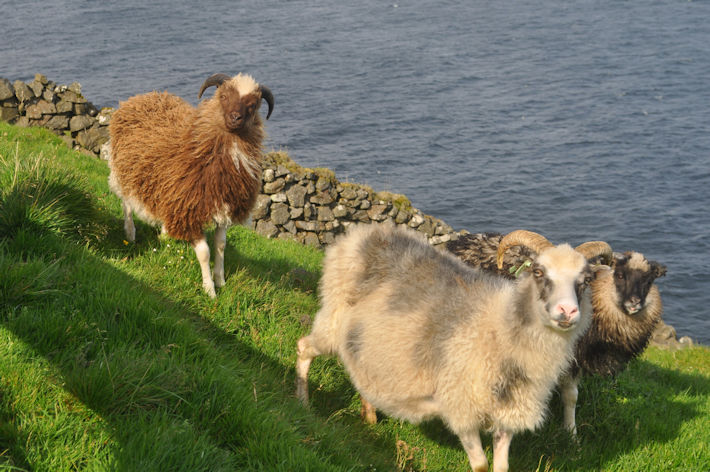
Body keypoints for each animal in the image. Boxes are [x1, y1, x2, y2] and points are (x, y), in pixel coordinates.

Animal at [108, 72, 276, 296]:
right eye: (223, 96)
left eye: (253, 105)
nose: (235, 118)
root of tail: (144, 96)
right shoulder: (190, 212)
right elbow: (204, 252)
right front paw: (210, 290)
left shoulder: (221, 210)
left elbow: (220, 245)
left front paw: (220, 280)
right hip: (124, 170)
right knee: (126, 202)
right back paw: (130, 233)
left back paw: (165, 234)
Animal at [294, 225, 612, 472]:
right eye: (537, 271)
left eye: (585, 280)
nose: (568, 312)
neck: (500, 328)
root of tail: (361, 233)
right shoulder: (461, 407)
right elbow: (480, 465)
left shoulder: (508, 413)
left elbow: (501, 466)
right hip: (332, 322)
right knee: (303, 347)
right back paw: (303, 404)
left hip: (365, 342)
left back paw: (369, 415)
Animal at [448, 232, 672, 436]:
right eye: (619, 275)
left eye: (649, 281)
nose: (634, 303)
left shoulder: (575, 360)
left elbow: (571, 396)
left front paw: (571, 433)